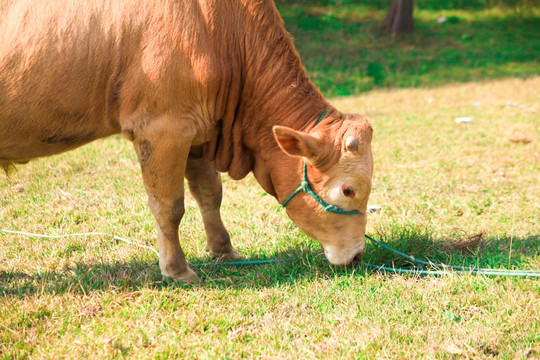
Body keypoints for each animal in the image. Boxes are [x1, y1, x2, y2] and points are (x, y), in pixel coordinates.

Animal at [0, 0, 372, 282]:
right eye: (348, 190)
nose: (356, 256)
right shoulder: (163, 128)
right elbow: (169, 206)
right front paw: (177, 270)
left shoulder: (201, 130)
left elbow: (210, 194)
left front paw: (224, 251)